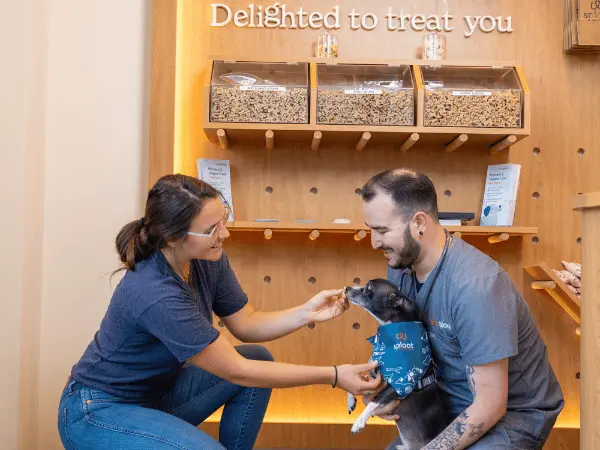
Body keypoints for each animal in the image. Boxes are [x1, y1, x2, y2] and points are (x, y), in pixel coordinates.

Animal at [344, 280, 448, 448]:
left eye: (368, 289)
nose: (347, 288)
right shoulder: (376, 374)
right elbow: (357, 374)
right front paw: (350, 401)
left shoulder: (399, 384)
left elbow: (375, 400)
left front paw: (359, 422)